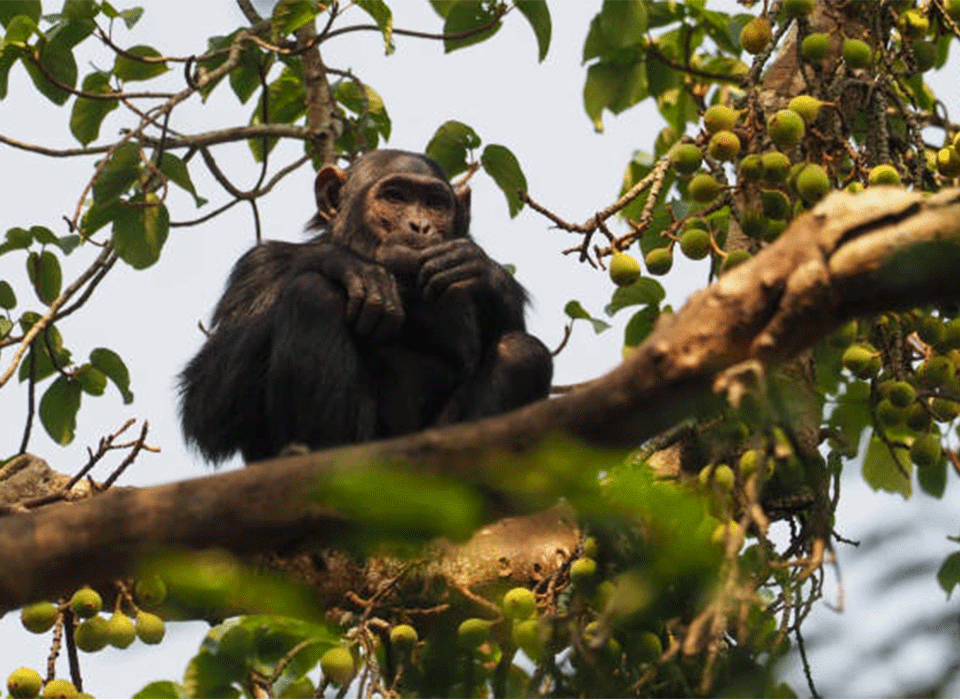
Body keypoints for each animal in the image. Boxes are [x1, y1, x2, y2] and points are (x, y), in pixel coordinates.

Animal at [179, 149, 552, 463]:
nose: (420, 225)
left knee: (522, 352)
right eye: (395, 197)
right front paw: (344, 264)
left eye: (435, 203)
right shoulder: (257, 266)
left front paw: (482, 270)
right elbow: (210, 400)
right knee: (314, 294)